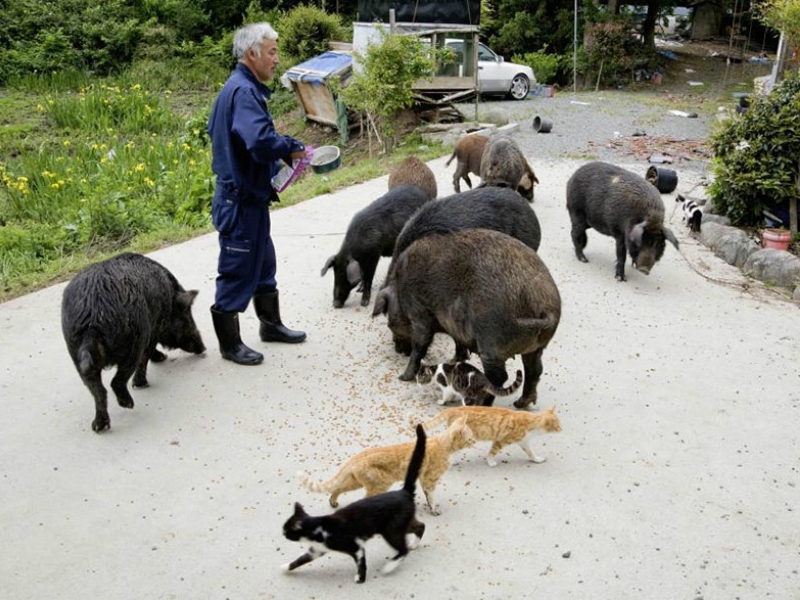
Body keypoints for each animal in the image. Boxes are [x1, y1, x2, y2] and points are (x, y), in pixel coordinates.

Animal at [284, 422, 428, 580]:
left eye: (286, 529)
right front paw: (286, 566)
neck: (319, 528)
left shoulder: (355, 547)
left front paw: (360, 578)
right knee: (420, 526)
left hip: (391, 529)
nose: (282, 533)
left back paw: (390, 566)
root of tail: (404, 491)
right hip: (396, 524)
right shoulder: (317, 550)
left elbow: (360, 562)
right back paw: (414, 544)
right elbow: (301, 559)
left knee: (404, 549)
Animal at [300, 418, 476, 516]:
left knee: (337, 489)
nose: (475, 442)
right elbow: (431, 496)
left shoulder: (423, 479)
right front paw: (434, 509)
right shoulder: (430, 479)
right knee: (363, 499)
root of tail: (356, 457)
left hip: (356, 482)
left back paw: (333, 502)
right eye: (470, 438)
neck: (443, 445)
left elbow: (428, 495)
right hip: (380, 484)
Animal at [422, 406, 560, 466]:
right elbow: (492, 452)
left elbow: (531, 452)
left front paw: (537, 459)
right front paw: (490, 462)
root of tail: (453, 408)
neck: (531, 422)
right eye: (557, 425)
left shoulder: (524, 441)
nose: (561, 429)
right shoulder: (501, 440)